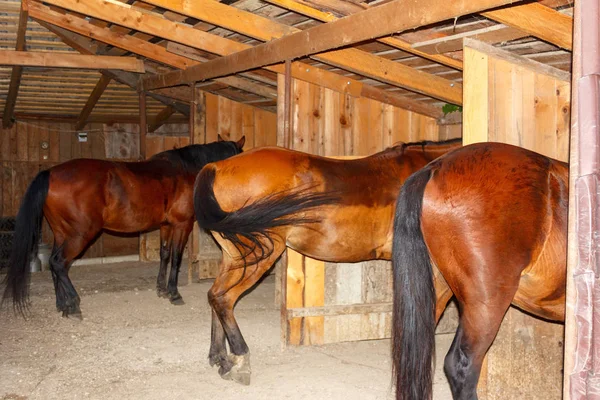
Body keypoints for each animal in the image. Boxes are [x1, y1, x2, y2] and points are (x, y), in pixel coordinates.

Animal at [2, 136, 245, 318]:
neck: (185, 170)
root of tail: (50, 173)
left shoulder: (166, 225)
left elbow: (165, 255)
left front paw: (161, 289)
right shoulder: (181, 225)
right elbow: (176, 258)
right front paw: (174, 293)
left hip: (62, 233)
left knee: (55, 265)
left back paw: (63, 305)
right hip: (80, 235)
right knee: (58, 263)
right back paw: (73, 304)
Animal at [192, 138, 460, 384]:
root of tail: (217, 167)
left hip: (235, 257)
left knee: (215, 295)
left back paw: (221, 359)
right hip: (257, 256)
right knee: (223, 298)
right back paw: (240, 361)